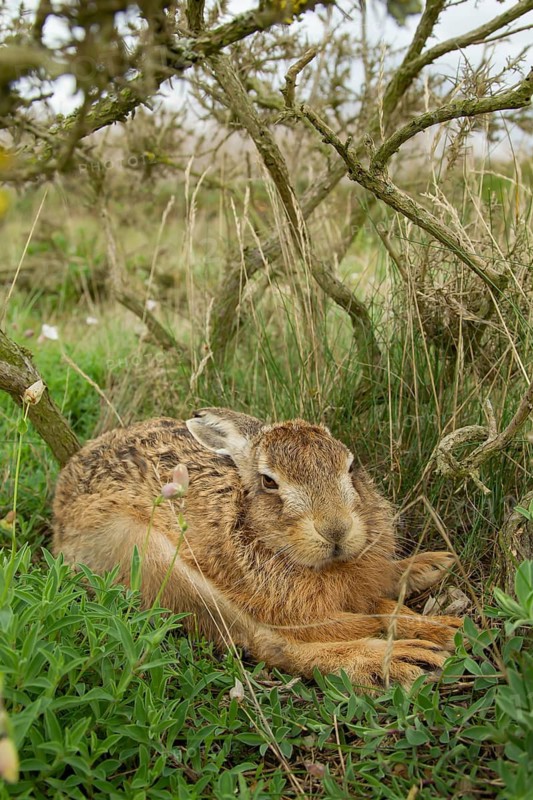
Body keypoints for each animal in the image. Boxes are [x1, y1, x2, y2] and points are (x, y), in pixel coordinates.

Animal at [52, 408, 462, 690]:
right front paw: (437, 629)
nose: (336, 529)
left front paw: (430, 581)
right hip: (149, 554)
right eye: (269, 482)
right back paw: (399, 659)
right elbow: (358, 612)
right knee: (264, 642)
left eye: (351, 466)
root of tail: (59, 516)